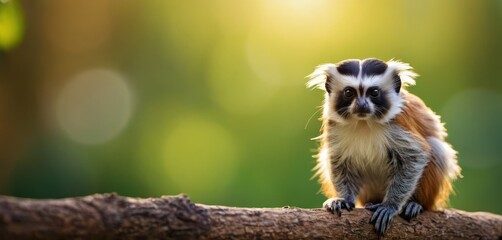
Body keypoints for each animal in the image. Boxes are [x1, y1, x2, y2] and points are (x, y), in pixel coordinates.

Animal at [306, 59, 458, 235]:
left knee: (436, 149)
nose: (362, 104)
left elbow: (416, 155)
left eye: (374, 92)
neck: (364, 121)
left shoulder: (397, 122)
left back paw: (416, 204)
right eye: (349, 92)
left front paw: (390, 205)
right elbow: (337, 160)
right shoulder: (334, 126)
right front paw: (344, 199)